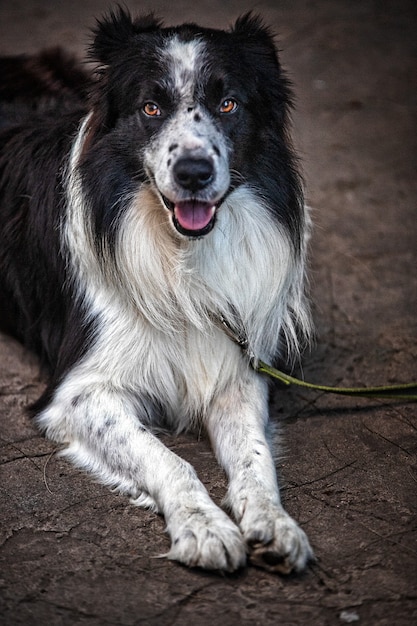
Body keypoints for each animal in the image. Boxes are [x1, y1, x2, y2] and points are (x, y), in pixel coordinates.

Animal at [0, 8, 312, 572]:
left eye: (228, 103)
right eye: (151, 107)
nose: (194, 172)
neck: (180, 253)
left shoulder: (235, 371)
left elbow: (255, 457)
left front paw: (273, 521)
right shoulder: (79, 392)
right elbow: (169, 460)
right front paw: (204, 526)